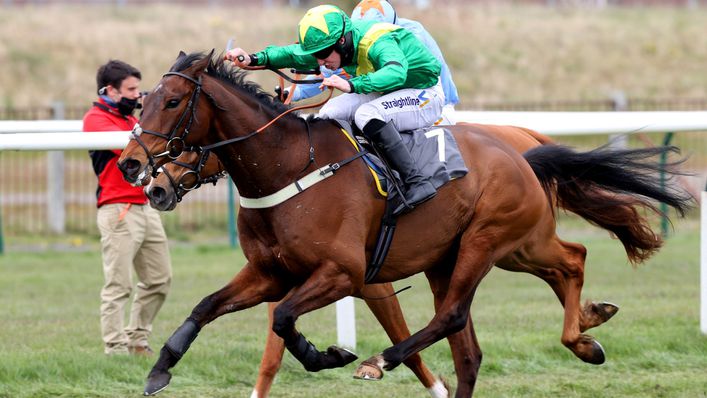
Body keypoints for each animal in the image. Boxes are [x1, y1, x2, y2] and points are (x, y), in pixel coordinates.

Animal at [117, 52, 692, 398]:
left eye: (172, 102)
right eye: (142, 101)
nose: (136, 169)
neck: (291, 168)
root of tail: (520, 154)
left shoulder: (346, 274)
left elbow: (282, 321)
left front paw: (330, 354)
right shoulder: (270, 273)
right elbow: (206, 308)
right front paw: (159, 368)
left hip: (487, 242)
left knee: (456, 315)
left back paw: (380, 359)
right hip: (506, 249)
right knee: (554, 274)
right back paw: (587, 331)